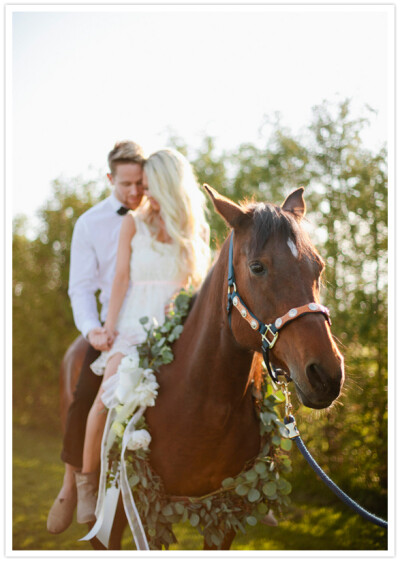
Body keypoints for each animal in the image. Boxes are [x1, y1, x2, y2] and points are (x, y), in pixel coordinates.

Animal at [59, 184, 344, 548]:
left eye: (317, 267)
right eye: (257, 267)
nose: (326, 374)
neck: (201, 403)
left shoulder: (223, 512)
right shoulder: (149, 510)